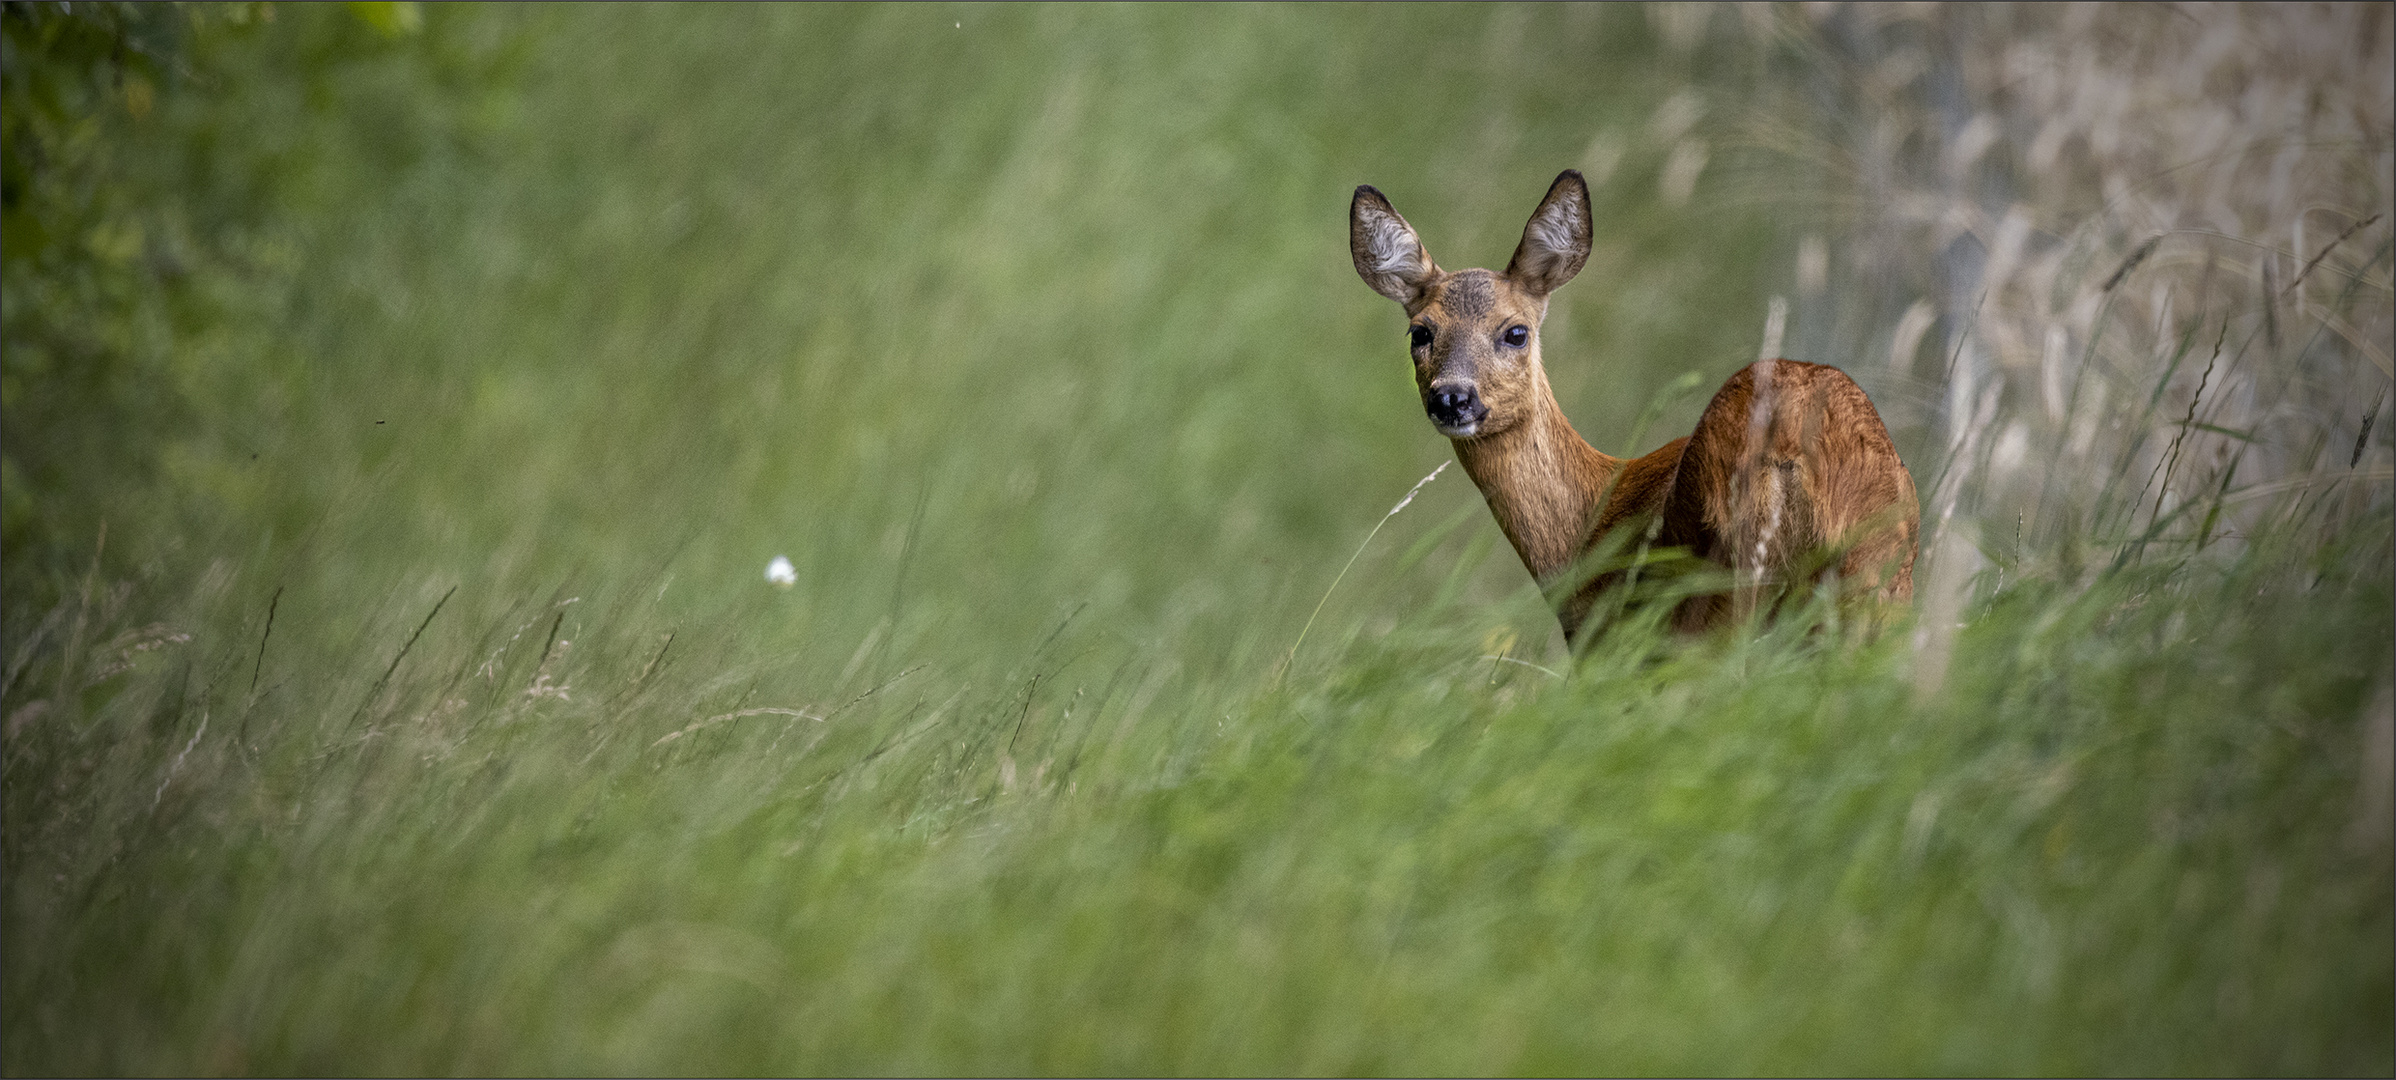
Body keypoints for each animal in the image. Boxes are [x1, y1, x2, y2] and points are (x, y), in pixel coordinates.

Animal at [1351, 168, 1926, 641]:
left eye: (1515, 331)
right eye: (1420, 332)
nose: (1452, 397)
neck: (1586, 526)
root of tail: (1792, 436)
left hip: (1712, 594)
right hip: (1878, 586)